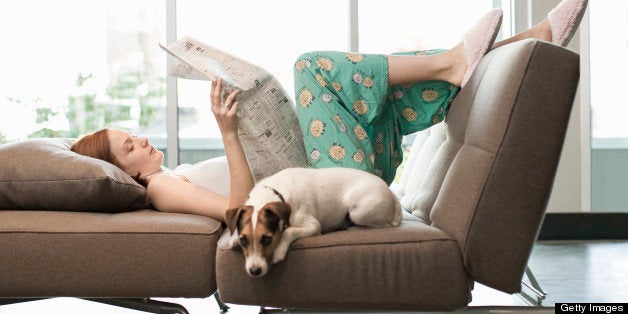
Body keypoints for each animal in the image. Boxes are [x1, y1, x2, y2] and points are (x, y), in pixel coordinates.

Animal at [223, 167, 402, 278]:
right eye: (244, 241)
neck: (277, 193)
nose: (254, 271)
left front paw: (279, 250)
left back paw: (351, 228)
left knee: (381, 225)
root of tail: (391, 194)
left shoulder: (313, 226)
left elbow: (289, 231)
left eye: (267, 239)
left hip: (358, 211)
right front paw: (232, 240)